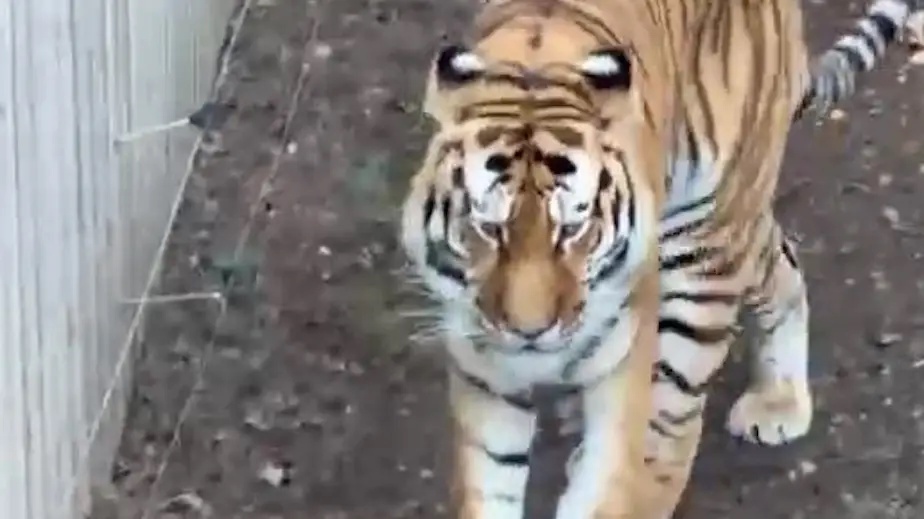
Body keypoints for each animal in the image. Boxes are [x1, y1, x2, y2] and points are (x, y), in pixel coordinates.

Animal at [398, 0, 920, 517]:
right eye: (488, 227)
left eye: (572, 229)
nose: (530, 333)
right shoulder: (485, 373)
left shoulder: (622, 359)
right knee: (782, 258)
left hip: (708, 243)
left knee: (672, 420)